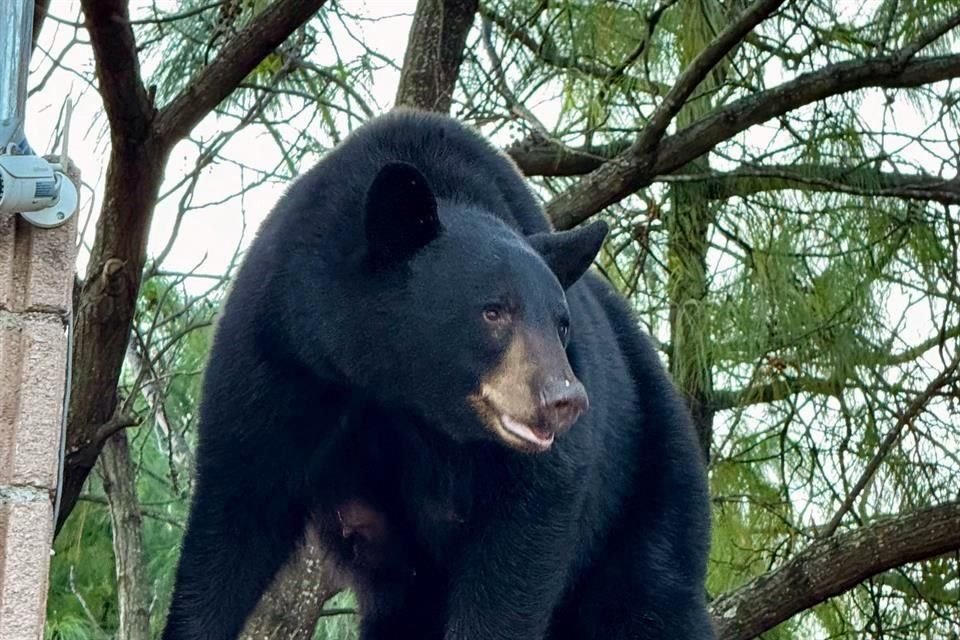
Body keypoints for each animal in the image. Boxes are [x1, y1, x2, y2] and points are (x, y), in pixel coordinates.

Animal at [163, 111, 712, 640]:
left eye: (562, 323)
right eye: (493, 311)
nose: (565, 399)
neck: (398, 388)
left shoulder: (541, 474)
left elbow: (518, 552)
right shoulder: (280, 355)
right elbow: (234, 518)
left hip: (652, 474)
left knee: (648, 600)